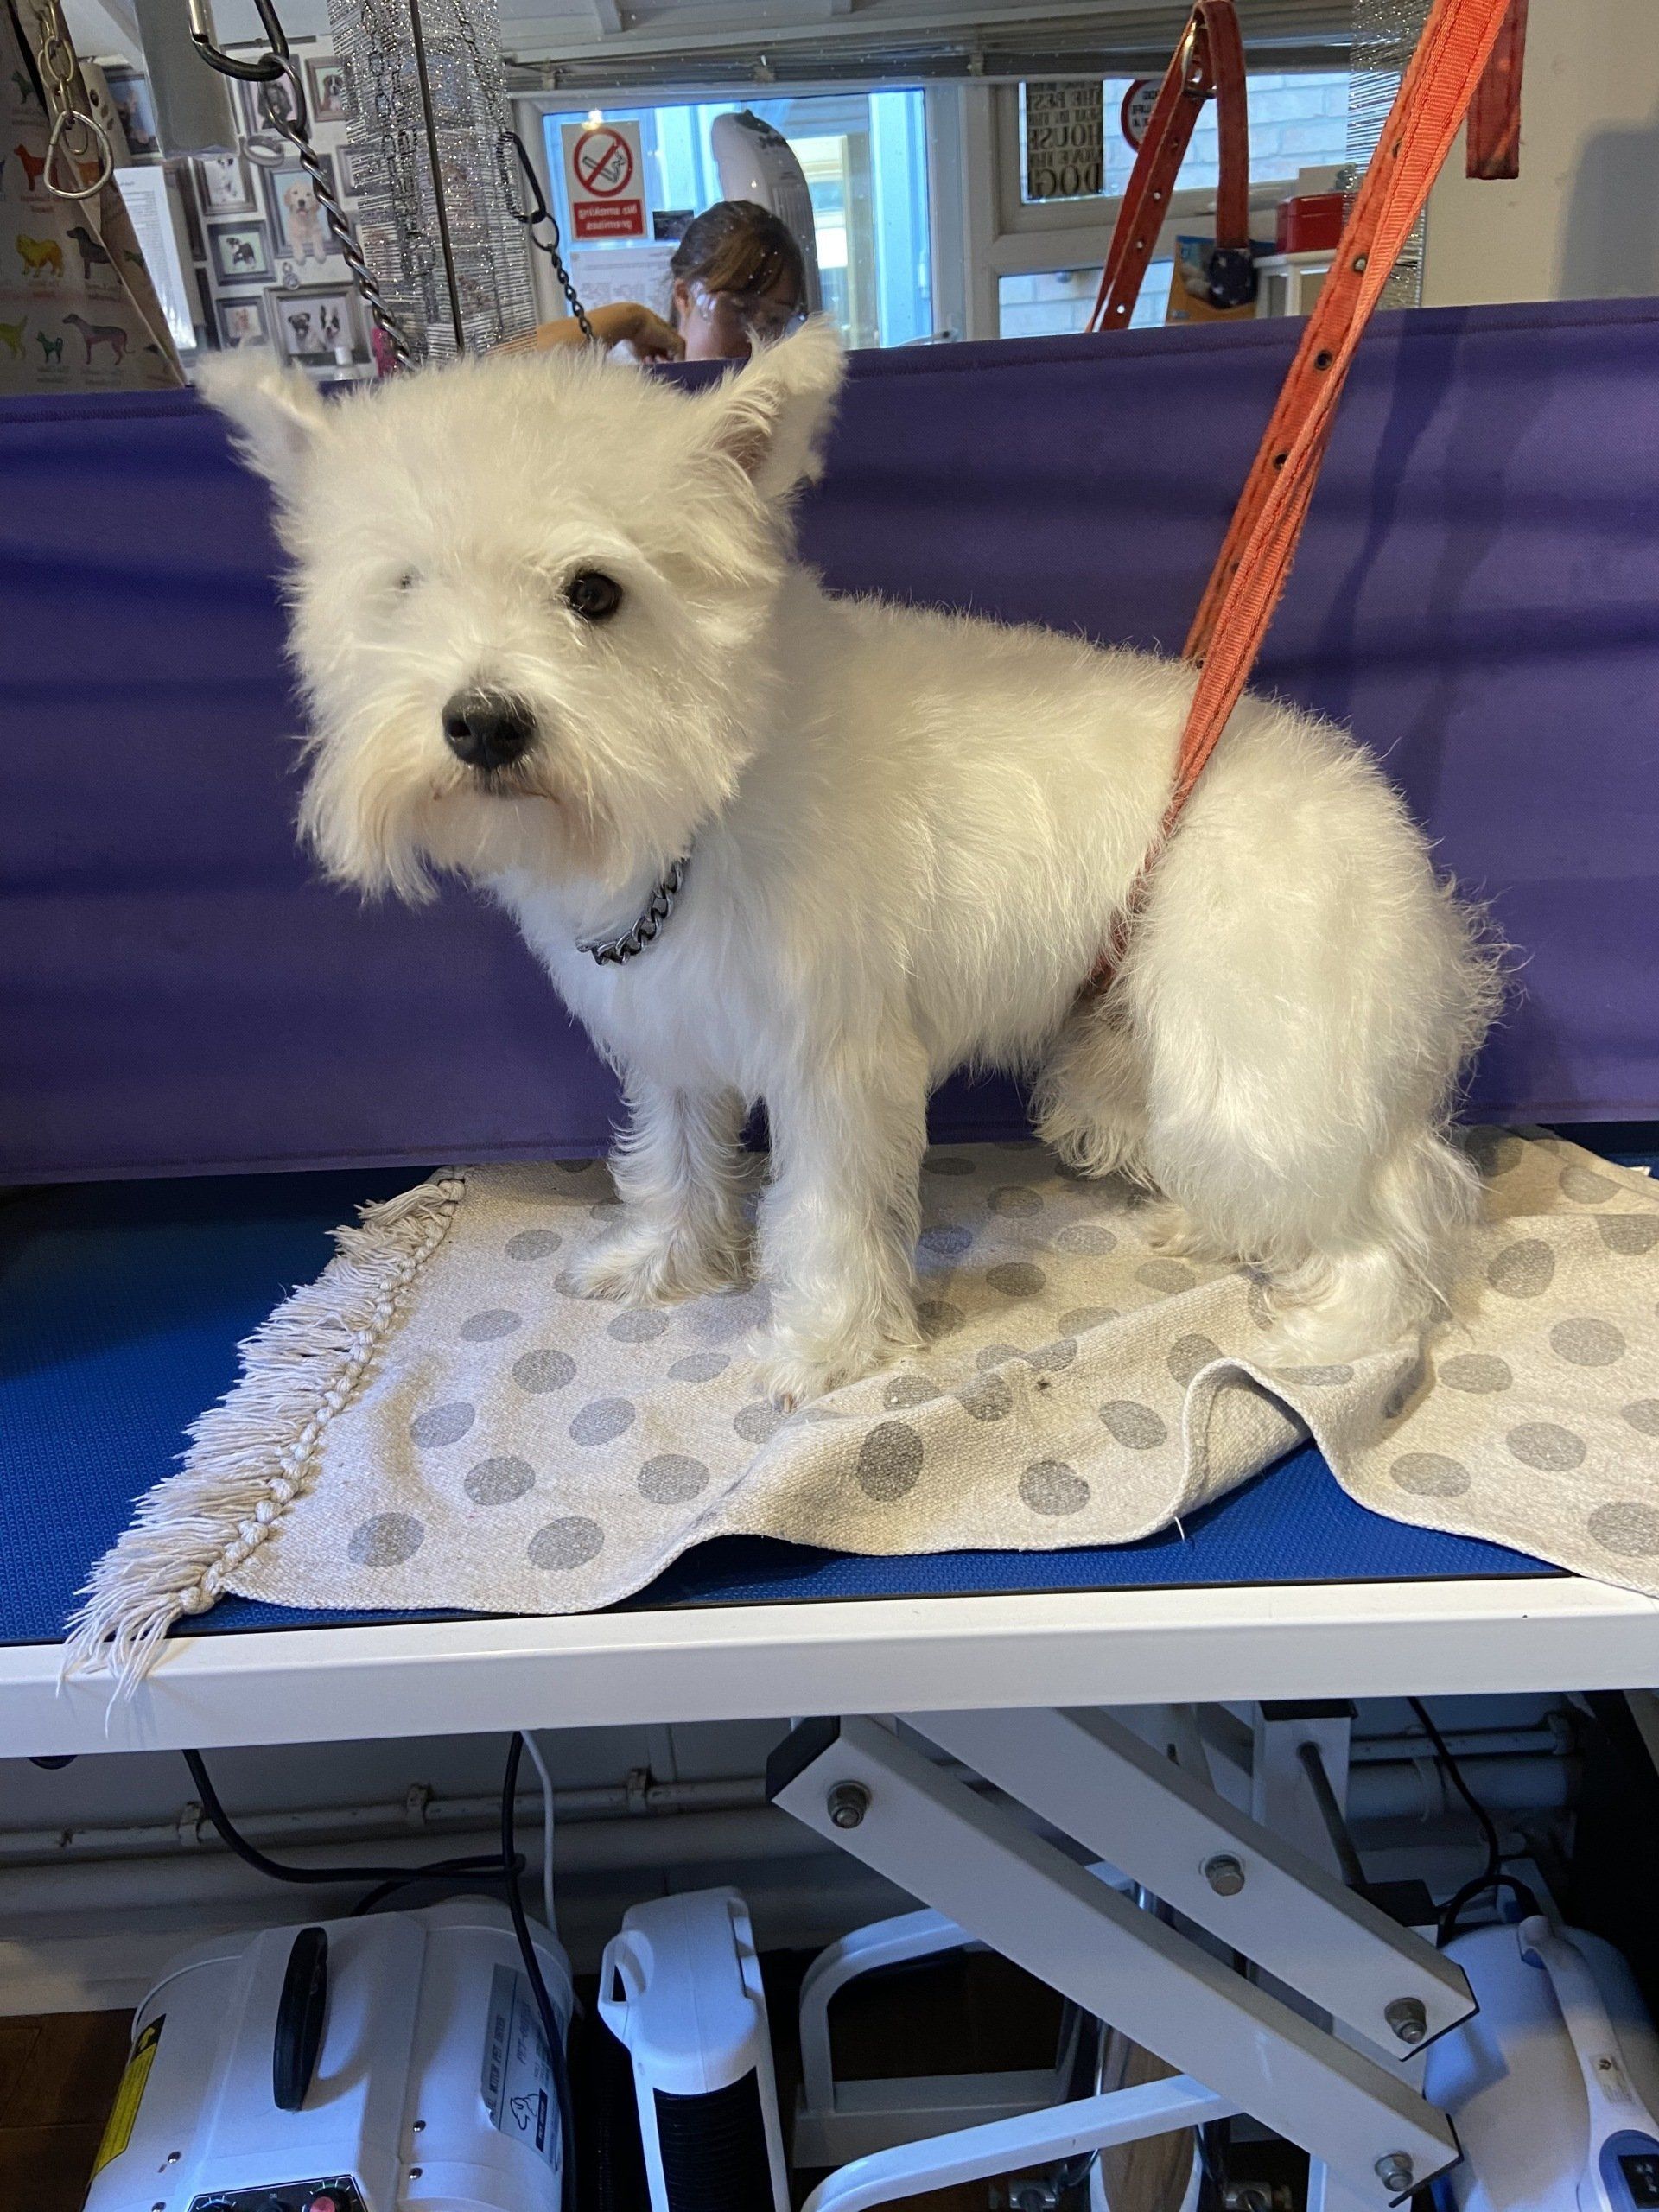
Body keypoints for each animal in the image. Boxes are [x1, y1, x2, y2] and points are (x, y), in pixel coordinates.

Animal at [202, 329, 1498, 1405]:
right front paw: (663, 1262)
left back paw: (1334, 1331)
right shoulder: (674, 1034)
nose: (482, 722)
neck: (709, 789)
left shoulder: (836, 1057)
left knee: (1394, 1204)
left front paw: (820, 1351)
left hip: (1257, 1068)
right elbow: (674, 1159)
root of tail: (1383, 818)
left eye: (595, 592)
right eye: (403, 586)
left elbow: (821, 1213)